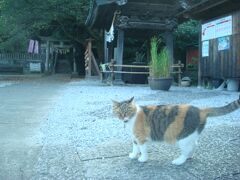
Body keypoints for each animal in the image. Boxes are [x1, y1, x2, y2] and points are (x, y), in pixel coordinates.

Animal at [112, 96, 240, 165]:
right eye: (120, 113)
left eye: (128, 111)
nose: (124, 118)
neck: (131, 120)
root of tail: (200, 110)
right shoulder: (135, 138)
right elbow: (135, 148)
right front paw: (133, 155)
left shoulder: (141, 138)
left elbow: (142, 150)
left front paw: (143, 159)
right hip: (190, 136)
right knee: (194, 145)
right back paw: (189, 157)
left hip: (183, 139)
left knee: (186, 150)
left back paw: (179, 161)